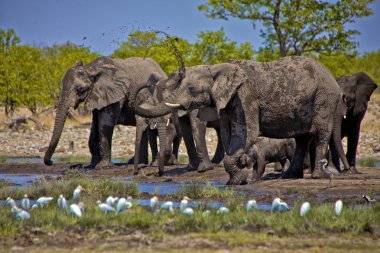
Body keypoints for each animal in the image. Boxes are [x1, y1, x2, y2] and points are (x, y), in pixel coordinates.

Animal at [131, 56, 342, 185]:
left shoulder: (245, 96)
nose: (145, 84)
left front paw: (240, 177)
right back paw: (290, 176)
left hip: (325, 97)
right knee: (302, 137)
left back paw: (317, 176)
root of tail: (330, 74)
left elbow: (245, 132)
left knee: (319, 133)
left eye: (191, 89)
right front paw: (236, 179)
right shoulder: (227, 101)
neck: (216, 68)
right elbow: (227, 133)